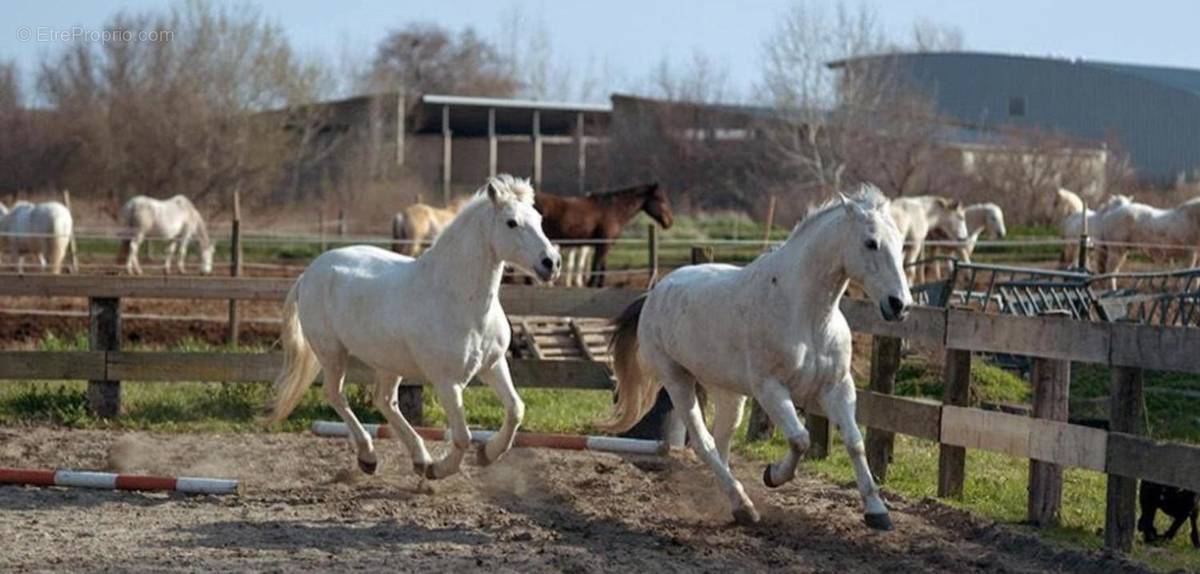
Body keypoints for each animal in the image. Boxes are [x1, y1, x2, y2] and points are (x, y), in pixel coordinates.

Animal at [267, 175, 561, 480]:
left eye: (539, 219)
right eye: (511, 222)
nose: (551, 263)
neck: (457, 299)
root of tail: (308, 273)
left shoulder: (493, 364)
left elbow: (516, 410)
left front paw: (487, 454)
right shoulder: (447, 382)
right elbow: (462, 436)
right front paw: (439, 470)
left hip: (387, 362)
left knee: (384, 400)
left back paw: (419, 458)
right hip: (332, 353)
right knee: (336, 395)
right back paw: (369, 457)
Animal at [537, 182, 676, 287]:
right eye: (660, 199)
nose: (669, 222)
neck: (612, 210)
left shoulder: (604, 244)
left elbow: (601, 265)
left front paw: (597, 284)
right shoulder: (603, 244)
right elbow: (597, 265)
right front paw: (592, 284)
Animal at [600, 184, 907, 528]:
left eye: (901, 243)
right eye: (871, 242)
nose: (899, 304)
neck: (808, 315)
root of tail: (655, 292)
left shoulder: (837, 387)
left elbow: (855, 443)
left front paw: (877, 511)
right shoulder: (770, 388)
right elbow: (800, 439)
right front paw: (773, 475)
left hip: (728, 393)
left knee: (720, 443)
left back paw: (734, 502)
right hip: (677, 380)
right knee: (704, 443)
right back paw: (744, 505)